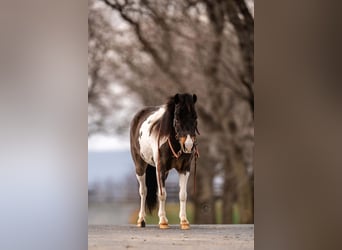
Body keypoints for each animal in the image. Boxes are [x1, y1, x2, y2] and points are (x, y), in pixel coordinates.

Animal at [130, 93, 199, 229]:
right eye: (177, 119)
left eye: (195, 118)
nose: (188, 145)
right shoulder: (160, 168)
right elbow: (162, 195)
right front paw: (163, 221)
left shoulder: (184, 169)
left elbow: (182, 195)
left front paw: (184, 221)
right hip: (140, 166)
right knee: (143, 191)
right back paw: (141, 220)